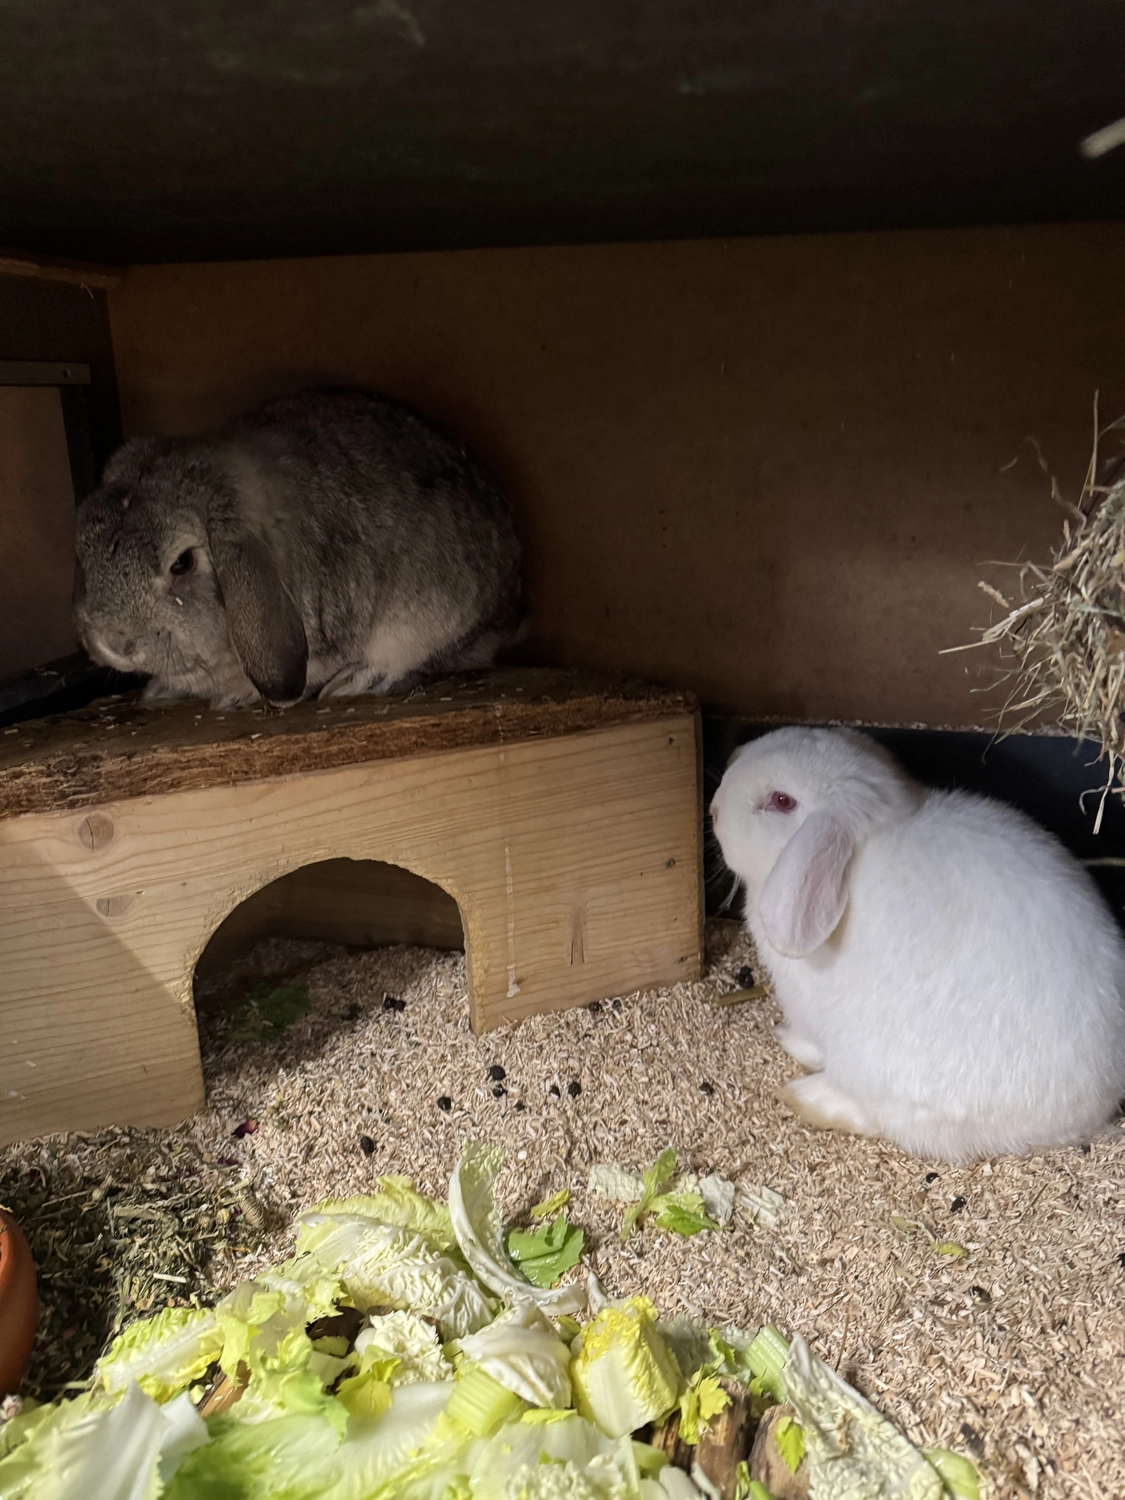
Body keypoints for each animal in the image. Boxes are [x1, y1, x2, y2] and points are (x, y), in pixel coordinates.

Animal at [710, 725, 1125, 1161]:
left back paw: (805, 1095)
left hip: (880, 1073)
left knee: (870, 1114)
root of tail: (1086, 1115)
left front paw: (790, 1040)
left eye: (782, 801)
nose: (714, 809)